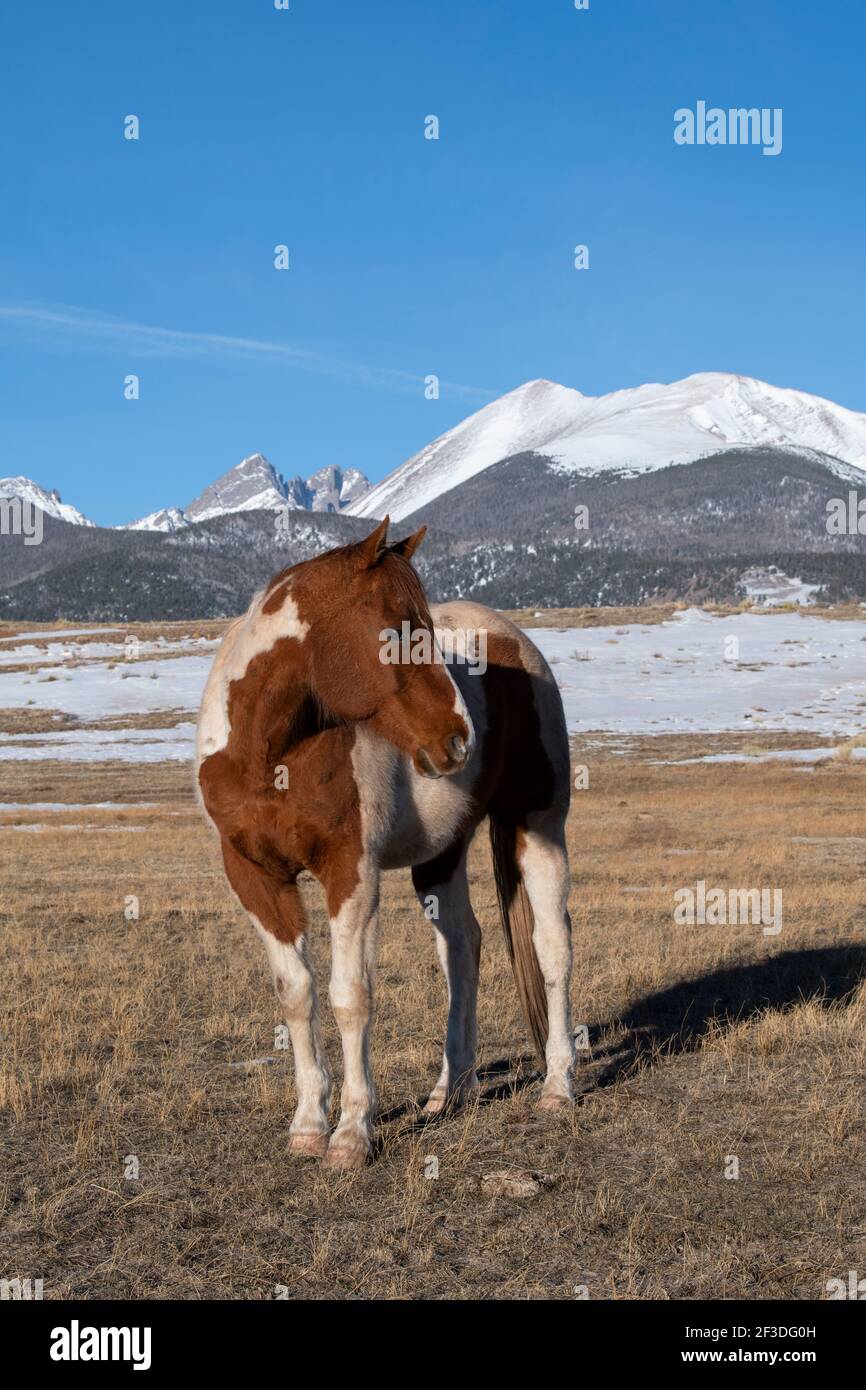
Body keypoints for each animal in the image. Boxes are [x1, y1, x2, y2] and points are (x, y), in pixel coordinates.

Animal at [196, 517, 574, 1169]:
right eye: (395, 628)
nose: (459, 739)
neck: (269, 754)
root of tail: (514, 639)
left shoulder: (351, 871)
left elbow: (350, 996)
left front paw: (351, 1135)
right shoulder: (254, 876)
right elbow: (296, 993)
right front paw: (307, 1126)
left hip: (539, 828)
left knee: (552, 947)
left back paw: (558, 1088)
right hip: (442, 855)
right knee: (461, 950)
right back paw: (450, 1093)